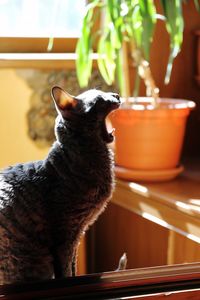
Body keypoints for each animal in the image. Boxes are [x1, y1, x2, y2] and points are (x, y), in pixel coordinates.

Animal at [0, 85, 120, 284]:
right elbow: (64, 271)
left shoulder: (77, 234)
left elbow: (73, 266)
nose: (117, 95)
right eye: (99, 100)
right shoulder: (64, 236)